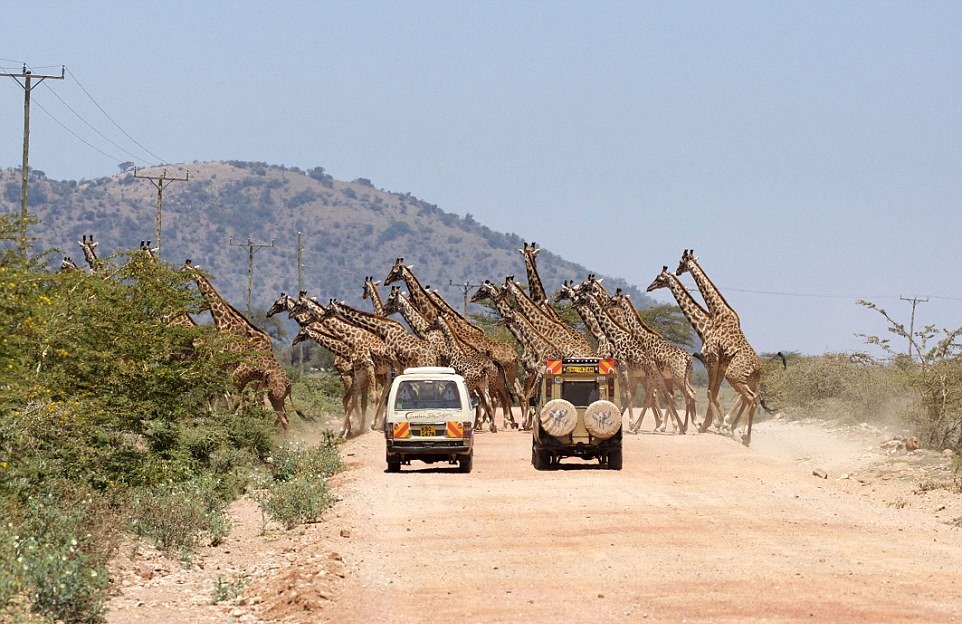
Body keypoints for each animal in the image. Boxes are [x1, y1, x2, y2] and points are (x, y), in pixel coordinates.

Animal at [608, 288, 688, 432]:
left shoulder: (652, 372)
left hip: (677, 377)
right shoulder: (653, 374)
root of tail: (689, 358)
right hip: (677, 378)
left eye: (613, 299)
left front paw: (635, 426)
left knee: (688, 396)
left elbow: (654, 397)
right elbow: (658, 397)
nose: (606, 304)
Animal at [676, 249, 756, 444]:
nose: (677, 271)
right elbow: (712, 392)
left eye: (681, 262)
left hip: (734, 375)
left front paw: (714, 424)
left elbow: (710, 391)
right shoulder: (717, 363)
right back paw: (741, 433)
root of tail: (759, 368)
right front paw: (711, 424)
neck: (718, 312)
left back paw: (738, 431)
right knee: (751, 398)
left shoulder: (713, 360)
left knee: (749, 397)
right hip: (743, 378)